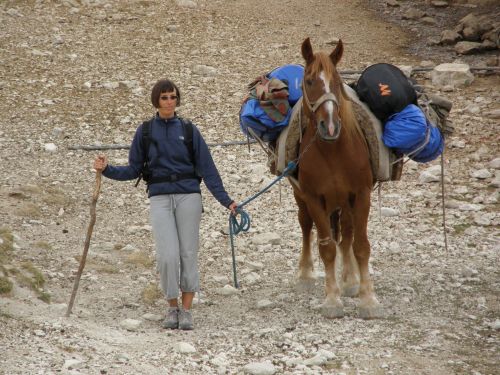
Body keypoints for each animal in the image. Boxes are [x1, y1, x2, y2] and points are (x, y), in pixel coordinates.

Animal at [292, 39, 382, 320]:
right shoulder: (313, 198)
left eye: (338, 81)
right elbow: (327, 247)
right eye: (309, 81)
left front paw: (368, 299)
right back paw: (305, 273)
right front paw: (332, 300)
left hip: (345, 202)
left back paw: (350, 280)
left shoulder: (361, 195)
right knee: (305, 225)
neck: (333, 152)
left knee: (347, 233)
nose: (330, 126)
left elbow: (360, 245)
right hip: (301, 198)